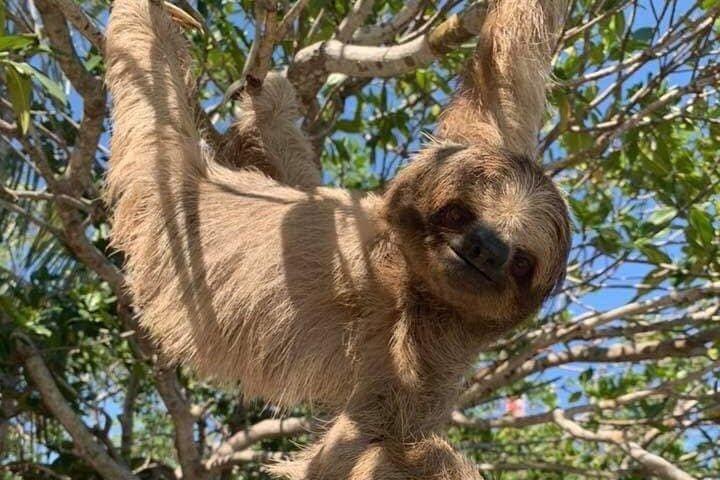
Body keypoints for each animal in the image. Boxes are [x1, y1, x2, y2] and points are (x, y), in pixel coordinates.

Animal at [104, 0, 570, 478]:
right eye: (459, 214)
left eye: (521, 263)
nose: (487, 249)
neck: (400, 262)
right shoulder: (463, 148)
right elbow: (505, 79)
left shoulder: (430, 347)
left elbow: (376, 439)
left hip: (164, 197)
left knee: (154, 91)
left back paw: (150, 16)